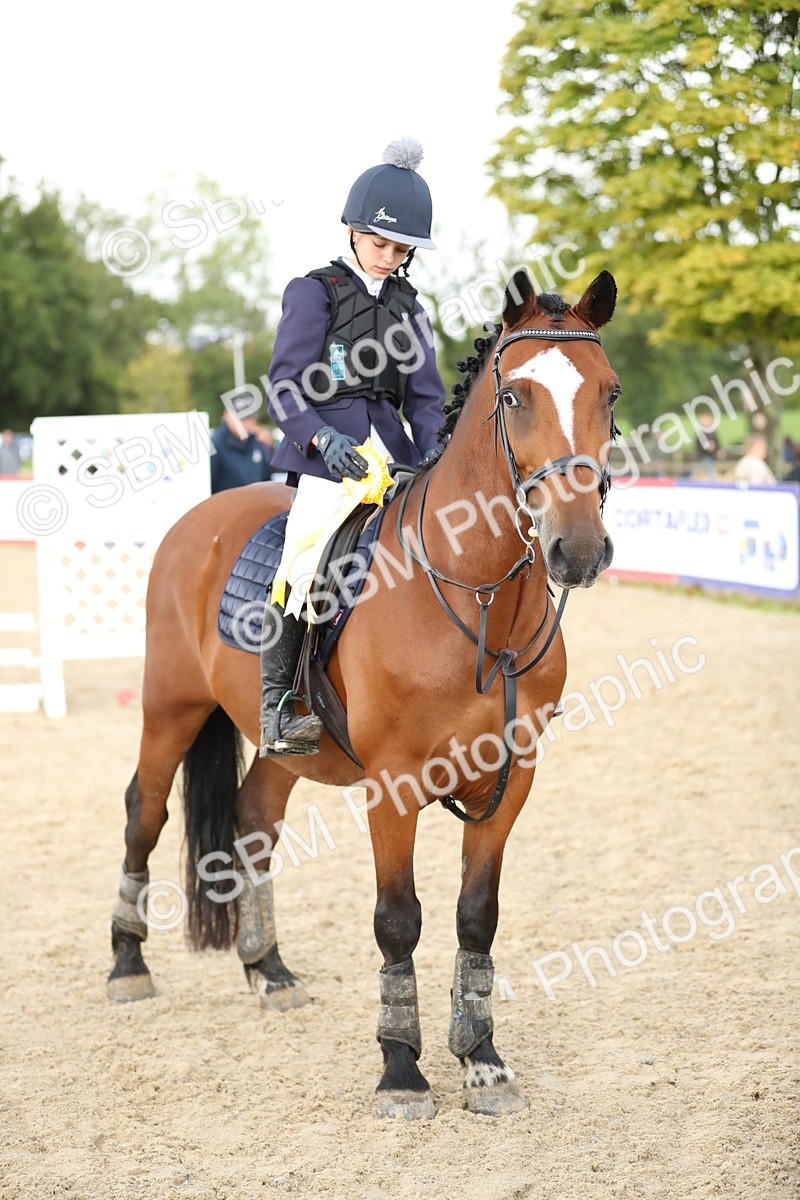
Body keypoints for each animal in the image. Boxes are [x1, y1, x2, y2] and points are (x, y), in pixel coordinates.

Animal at [108, 266, 620, 1119]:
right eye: (516, 397)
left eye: (609, 393)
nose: (576, 550)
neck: (480, 595)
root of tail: (202, 515)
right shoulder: (394, 783)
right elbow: (398, 920)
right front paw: (402, 1069)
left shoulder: (512, 778)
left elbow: (477, 917)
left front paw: (482, 1059)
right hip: (169, 708)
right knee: (144, 811)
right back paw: (127, 963)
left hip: (280, 743)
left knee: (252, 819)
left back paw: (269, 969)